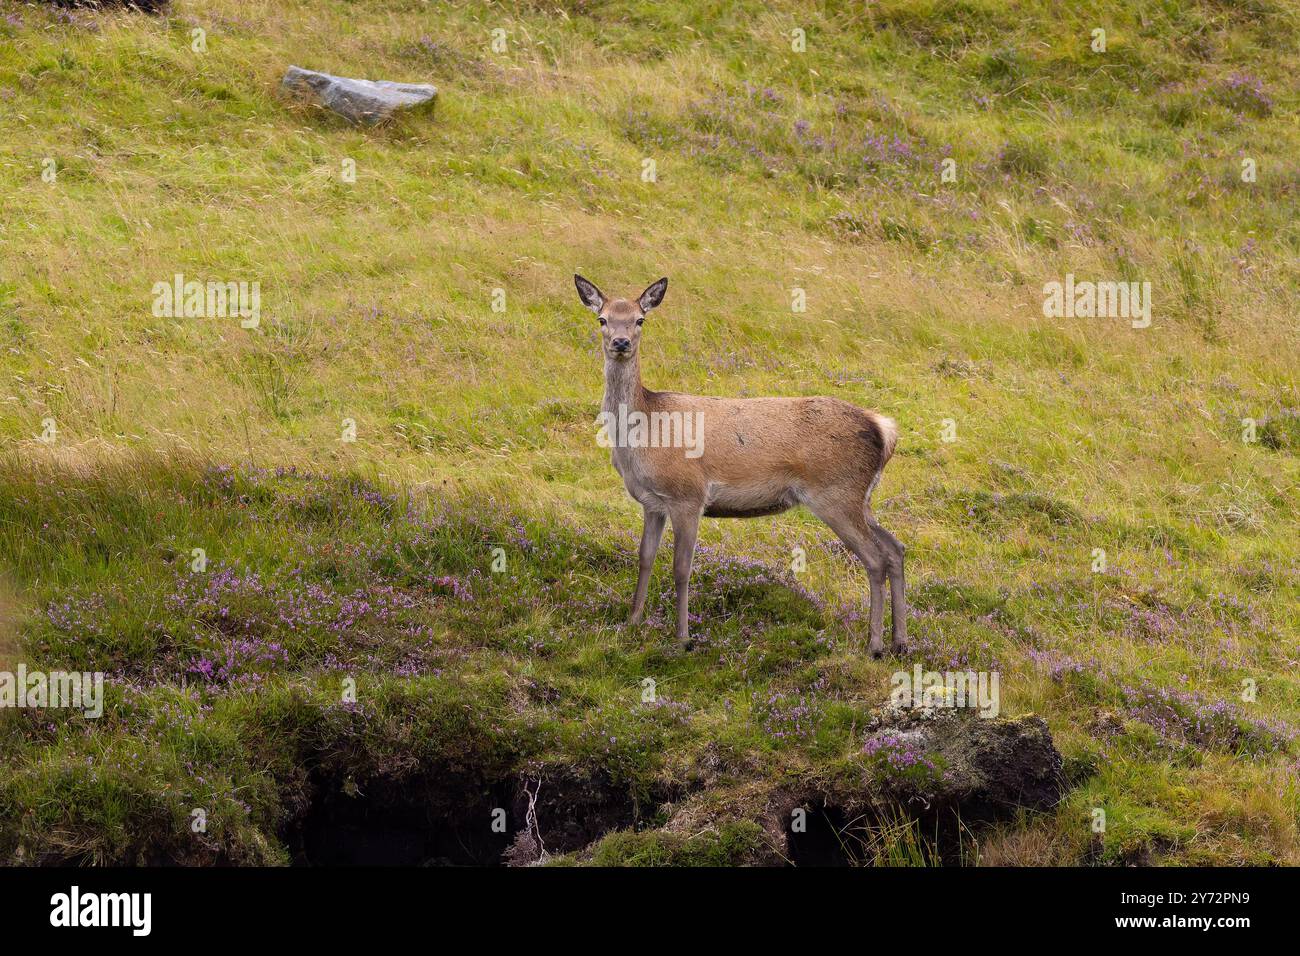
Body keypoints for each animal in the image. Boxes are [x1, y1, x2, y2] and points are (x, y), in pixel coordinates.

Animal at [575, 274, 908, 657]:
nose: (621, 342)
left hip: (835, 494)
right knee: (895, 549)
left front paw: (683, 638)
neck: (644, 433)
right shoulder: (652, 502)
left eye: (640, 320)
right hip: (860, 497)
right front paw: (632, 622)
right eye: (602, 319)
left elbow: (681, 568)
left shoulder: (688, 495)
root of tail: (884, 429)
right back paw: (900, 642)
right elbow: (644, 558)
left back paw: (875, 645)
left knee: (875, 558)